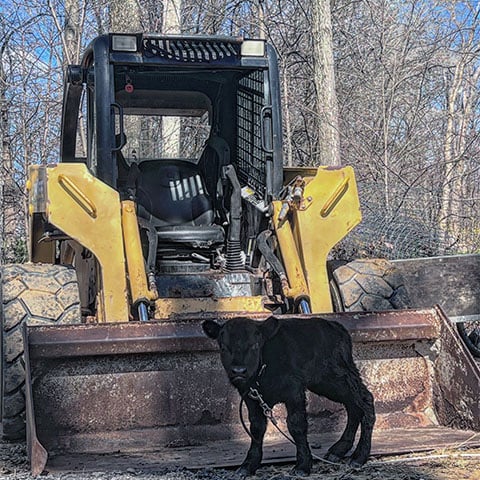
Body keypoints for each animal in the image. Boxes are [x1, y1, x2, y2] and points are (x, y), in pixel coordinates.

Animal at [202, 316, 376, 476]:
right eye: (223, 347)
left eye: (255, 345)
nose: (239, 371)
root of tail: (336, 326)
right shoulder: (250, 397)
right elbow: (257, 427)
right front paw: (248, 465)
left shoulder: (294, 391)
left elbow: (296, 425)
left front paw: (302, 466)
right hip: (327, 384)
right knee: (353, 406)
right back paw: (338, 450)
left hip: (338, 377)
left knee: (365, 400)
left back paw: (359, 457)